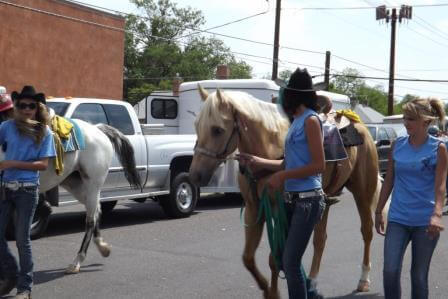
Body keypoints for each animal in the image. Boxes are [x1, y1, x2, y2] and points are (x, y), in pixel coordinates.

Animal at [0, 119, 140, 274]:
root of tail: (97, 128)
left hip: (93, 183)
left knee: (90, 220)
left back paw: (77, 262)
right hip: (75, 184)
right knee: (96, 210)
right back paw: (102, 247)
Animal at [189, 86, 382, 298]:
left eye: (217, 130)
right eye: (196, 125)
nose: (195, 175)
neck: (269, 147)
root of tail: (357, 123)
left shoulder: (282, 210)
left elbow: (275, 258)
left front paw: (273, 292)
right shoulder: (254, 208)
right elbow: (248, 257)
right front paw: (266, 288)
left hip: (363, 193)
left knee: (366, 231)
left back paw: (363, 280)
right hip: (325, 200)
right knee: (320, 240)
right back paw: (312, 283)